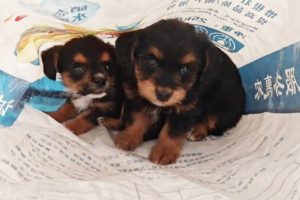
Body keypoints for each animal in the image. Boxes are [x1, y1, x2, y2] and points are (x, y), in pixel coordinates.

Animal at [113, 19, 245, 165]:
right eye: (152, 61)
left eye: (185, 69)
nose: (163, 95)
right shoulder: (138, 99)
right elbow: (137, 119)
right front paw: (128, 138)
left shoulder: (185, 110)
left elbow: (172, 131)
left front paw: (164, 152)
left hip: (225, 110)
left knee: (211, 122)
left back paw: (196, 131)